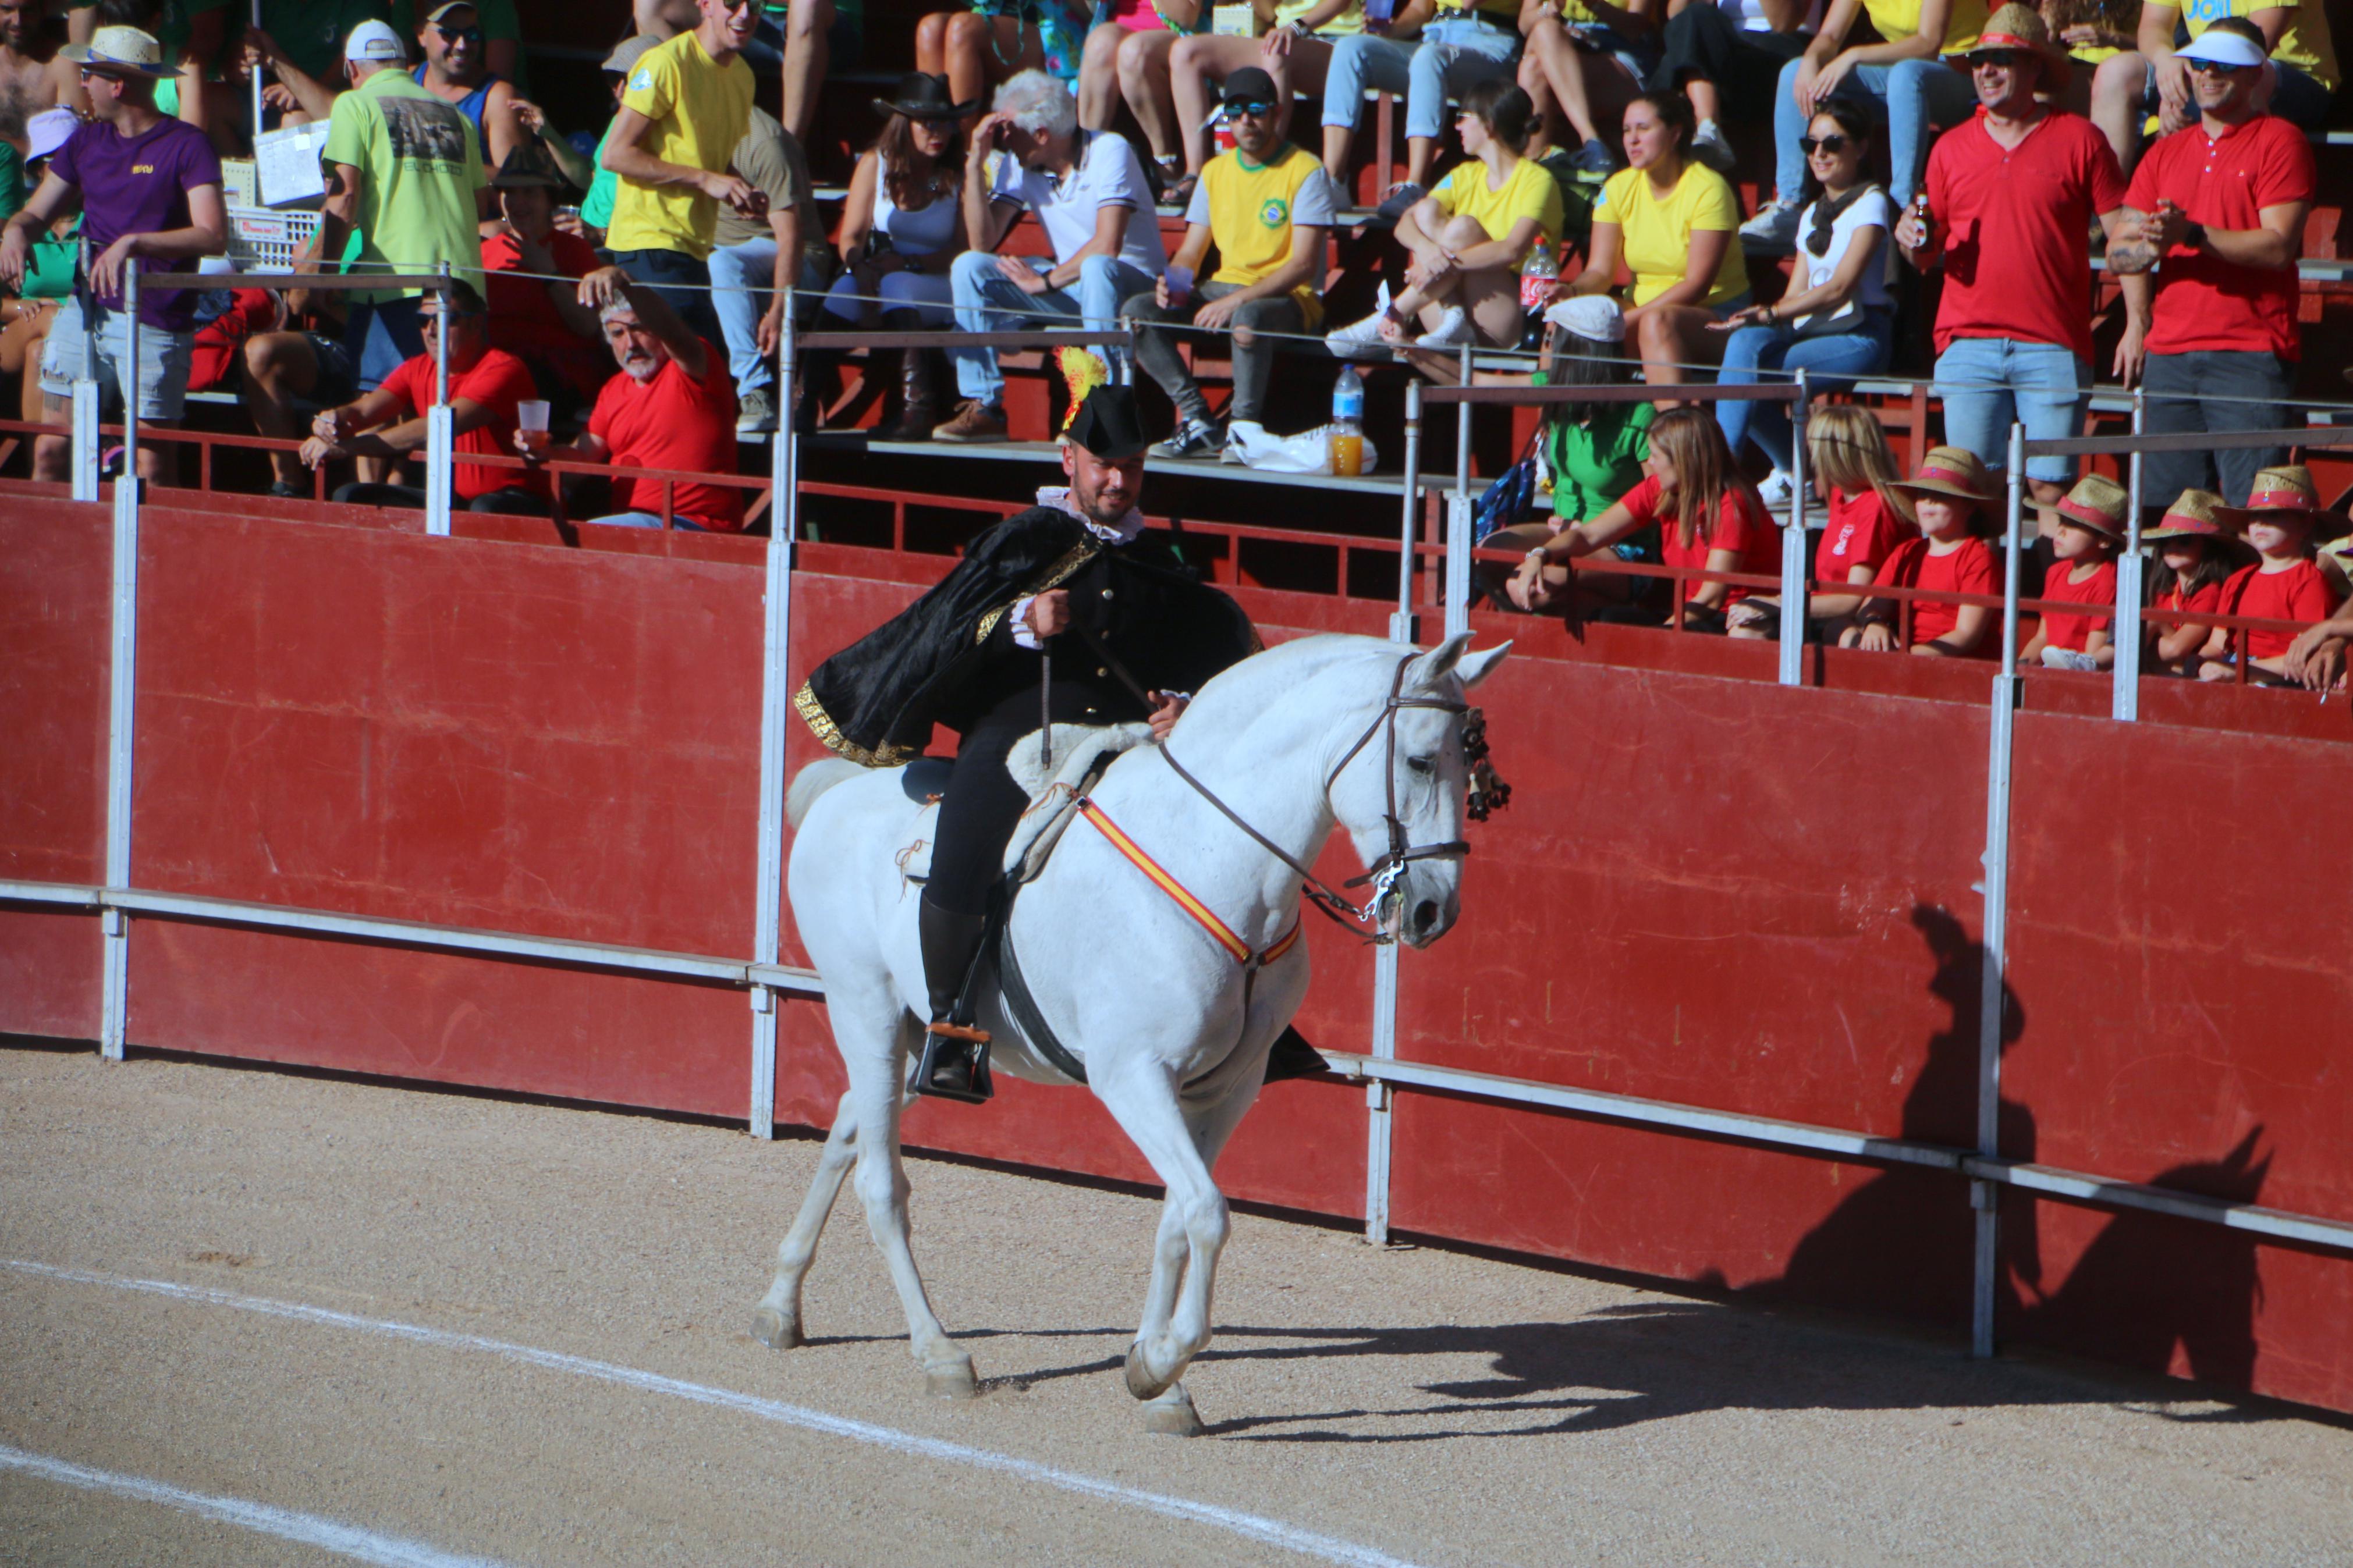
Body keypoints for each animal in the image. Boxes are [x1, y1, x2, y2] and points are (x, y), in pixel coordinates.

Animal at [748, 630, 1506, 1438]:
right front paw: (1159, 1365)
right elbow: (1206, 1211)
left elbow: (1178, 1216)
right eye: (1419, 760)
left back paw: (781, 1306)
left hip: (919, 1043)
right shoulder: (1133, 1075)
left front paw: (1159, 1380)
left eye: (1468, 765)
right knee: (882, 1180)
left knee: (847, 1131)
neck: (1212, 855)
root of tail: (841, 792)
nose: (1432, 911)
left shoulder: (1224, 1088)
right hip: (864, 1009)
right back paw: (939, 1354)